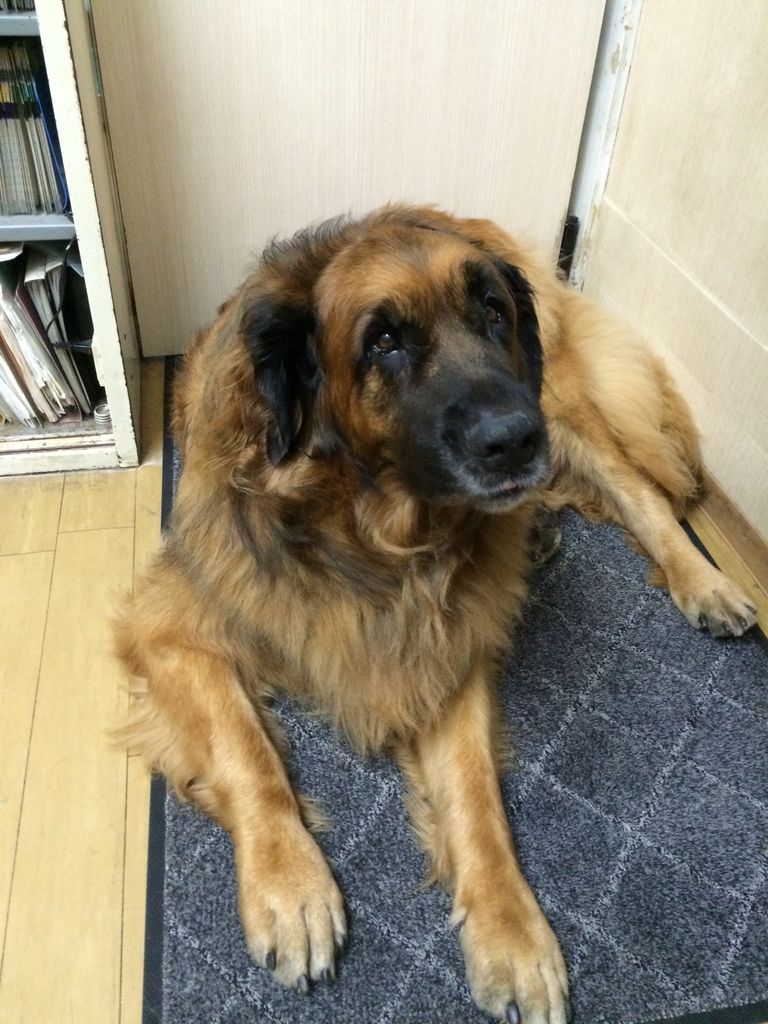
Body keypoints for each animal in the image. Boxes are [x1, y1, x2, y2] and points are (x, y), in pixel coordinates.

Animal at [116, 205, 756, 1023]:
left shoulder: (448, 651)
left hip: (562, 409)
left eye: (493, 313)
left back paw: (705, 581)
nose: (514, 439)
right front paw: (291, 886)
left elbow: (477, 798)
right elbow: (245, 750)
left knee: (639, 492)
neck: (369, 531)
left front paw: (511, 930)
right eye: (384, 341)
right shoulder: (173, 627)